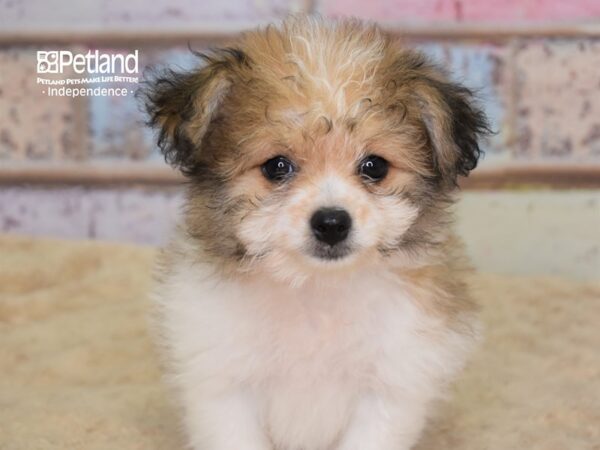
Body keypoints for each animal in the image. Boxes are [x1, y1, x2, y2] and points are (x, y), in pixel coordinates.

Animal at [144, 14, 488, 450]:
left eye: (375, 166)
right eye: (276, 166)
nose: (331, 223)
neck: (315, 291)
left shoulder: (391, 385)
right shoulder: (224, 385)